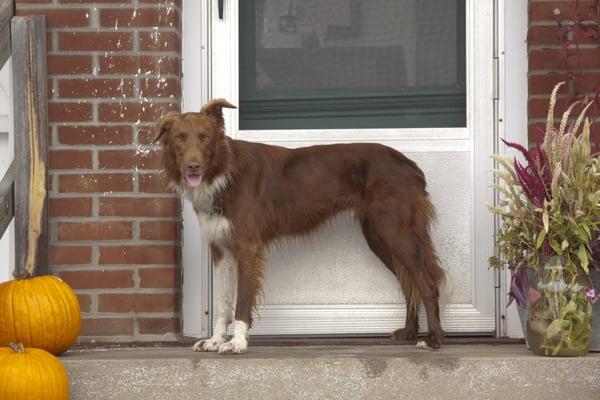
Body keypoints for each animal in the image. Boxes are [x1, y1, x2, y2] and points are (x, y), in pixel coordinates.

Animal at [155, 99, 450, 354]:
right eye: (180, 138)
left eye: (205, 137)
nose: (193, 168)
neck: (224, 170)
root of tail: (411, 166)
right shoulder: (220, 249)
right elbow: (222, 303)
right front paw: (215, 341)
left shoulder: (247, 247)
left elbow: (241, 302)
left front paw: (237, 343)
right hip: (379, 237)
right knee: (409, 283)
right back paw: (409, 332)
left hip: (397, 232)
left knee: (426, 285)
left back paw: (434, 339)